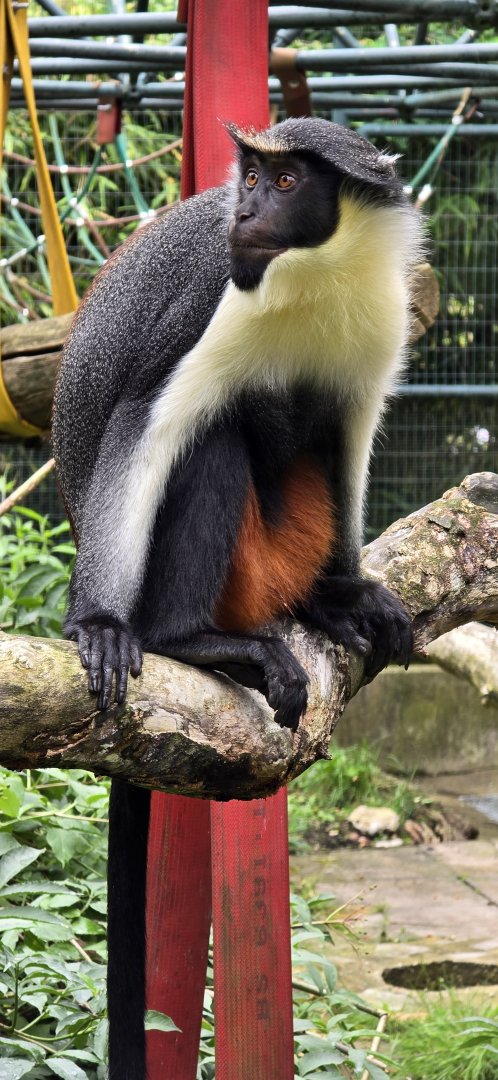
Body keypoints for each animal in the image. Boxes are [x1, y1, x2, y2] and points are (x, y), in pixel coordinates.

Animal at [52, 117, 422, 1079]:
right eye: (249, 174)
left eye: (287, 180)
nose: (247, 210)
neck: (318, 270)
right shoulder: (215, 300)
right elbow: (144, 425)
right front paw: (95, 623)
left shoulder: (380, 323)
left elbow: (350, 433)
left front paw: (348, 592)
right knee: (210, 439)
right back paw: (191, 641)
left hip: (280, 551)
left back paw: (322, 603)